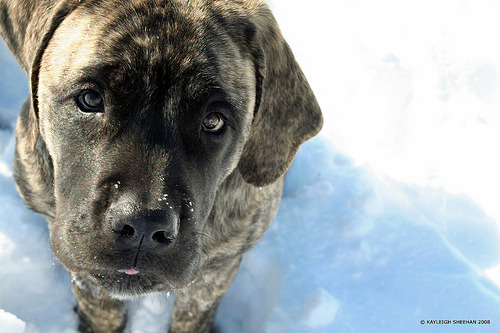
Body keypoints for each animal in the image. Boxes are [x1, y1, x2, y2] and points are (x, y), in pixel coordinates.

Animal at [0, 1, 322, 330]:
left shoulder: (219, 266)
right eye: (90, 98)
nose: (144, 226)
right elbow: (99, 303)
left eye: (213, 120)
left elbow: (192, 314)